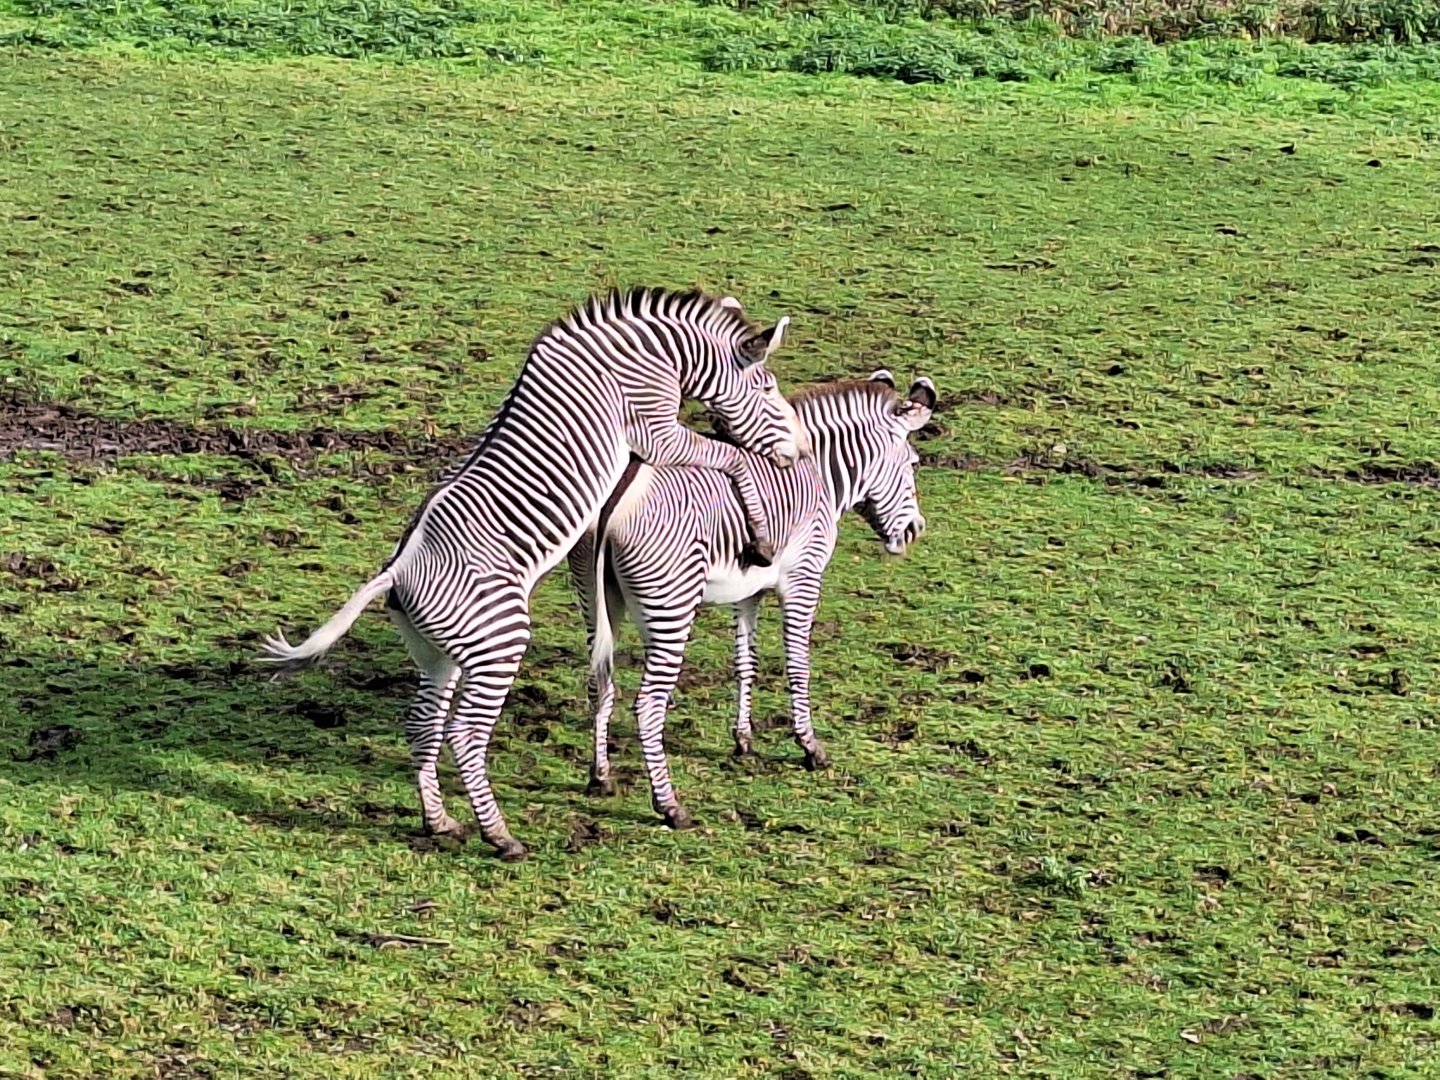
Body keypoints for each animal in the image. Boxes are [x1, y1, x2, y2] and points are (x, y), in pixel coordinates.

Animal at [256, 286, 808, 860]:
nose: (799, 452)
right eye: (767, 386)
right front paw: (760, 535)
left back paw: (441, 823)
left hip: (436, 653)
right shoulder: (653, 430)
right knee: (464, 735)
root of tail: (397, 573)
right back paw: (500, 836)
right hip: (500, 640)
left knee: (423, 725)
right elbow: (728, 457)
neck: (647, 355)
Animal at [568, 369, 936, 829]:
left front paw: (743, 740)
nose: (915, 531)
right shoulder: (803, 578)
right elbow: (798, 665)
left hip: (595, 600)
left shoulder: (748, 592)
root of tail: (614, 499)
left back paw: (600, 777)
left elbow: (746, 663)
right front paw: (810, 747)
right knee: (649, 705)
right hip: (671, 605)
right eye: (913, 463)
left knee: (599, 683)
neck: (818, 473)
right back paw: (670, 806)